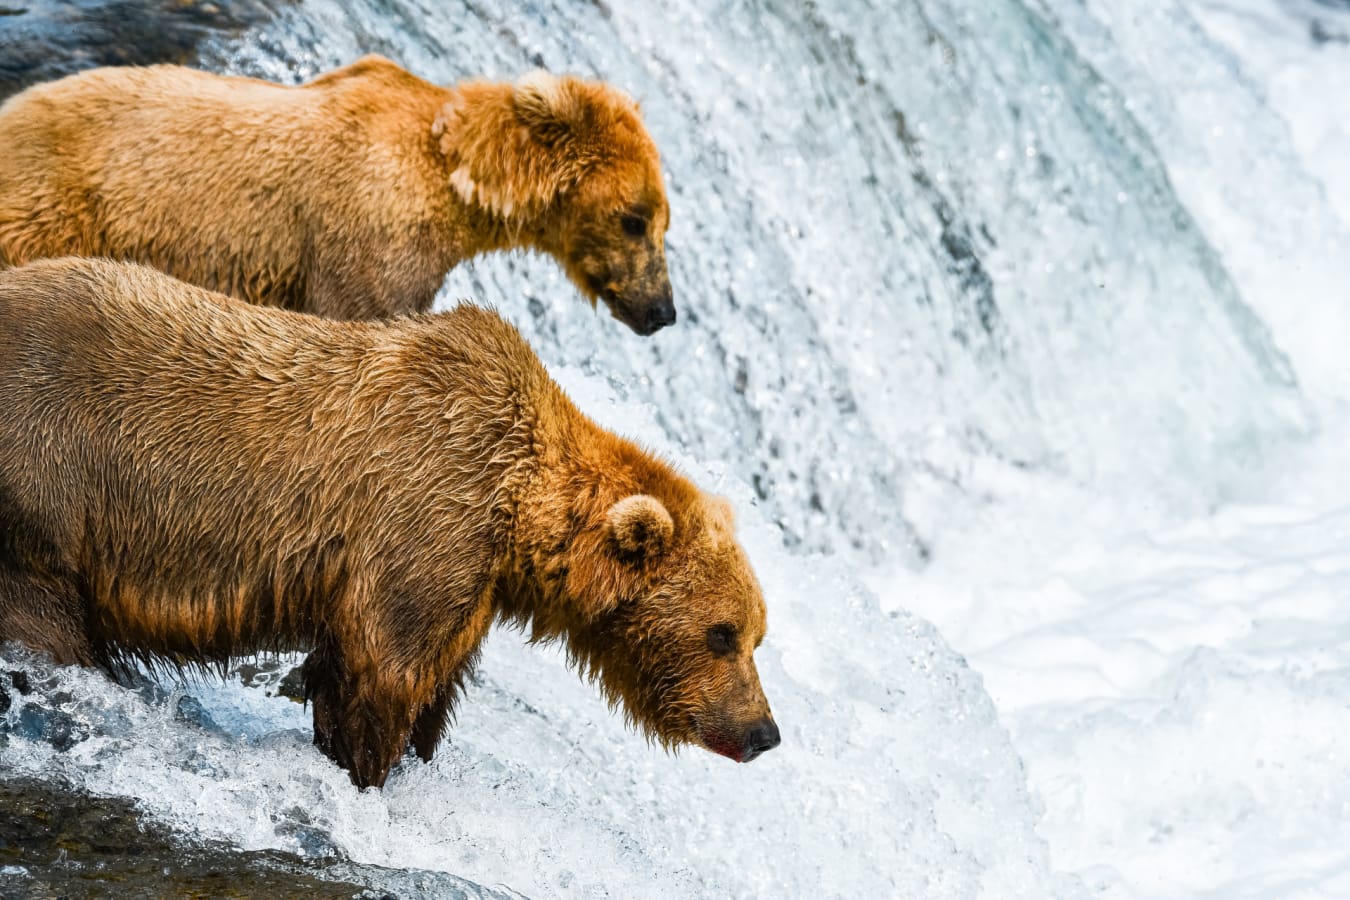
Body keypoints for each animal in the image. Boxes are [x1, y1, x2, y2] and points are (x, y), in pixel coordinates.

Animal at [0, 258, 775, 789]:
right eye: (722, 633)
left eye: (755, 635)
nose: (763, 731)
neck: (517, 511)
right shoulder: (422, 525)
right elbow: (381, 675)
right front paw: (367, 768)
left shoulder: (472, 585)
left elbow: (434, 685)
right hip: (43, 490)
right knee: (50, 626)